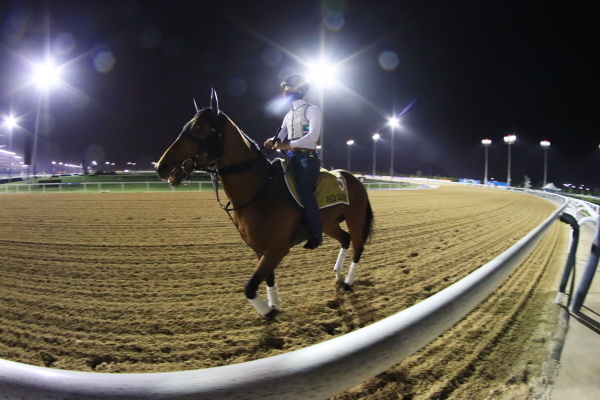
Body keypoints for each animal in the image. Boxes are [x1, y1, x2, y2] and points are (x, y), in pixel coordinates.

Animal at [156, 89, 370, 318]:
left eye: (198, 127)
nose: (161, 166)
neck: (260, 193)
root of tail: (352, 178)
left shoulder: (276, 250)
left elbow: (249, 287)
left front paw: (268, 312)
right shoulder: (259, 249)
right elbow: (268, 279)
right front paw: (274, 304)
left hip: (356, 219)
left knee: (357, 246)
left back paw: (348, 281)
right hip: (329, 224)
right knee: (345, 239)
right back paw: (338, 275)